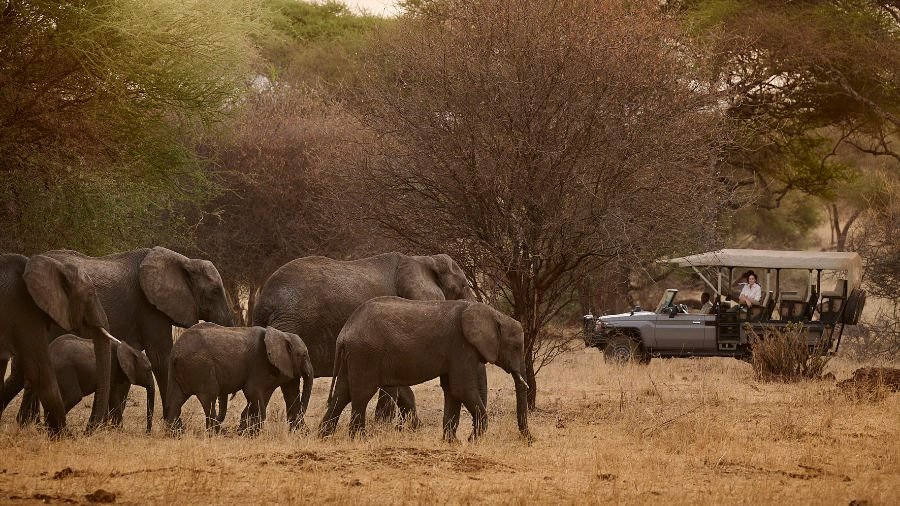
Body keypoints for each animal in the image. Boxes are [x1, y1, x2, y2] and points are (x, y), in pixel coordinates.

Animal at [163, 322, 314, 432]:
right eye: (303, 355)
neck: (282, 335)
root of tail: (175, 352)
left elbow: (283, 393)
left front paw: (246, 431)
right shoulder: (258, 364)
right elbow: (252, 391)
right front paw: (254, 433)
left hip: (180, 370)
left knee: (176, 398)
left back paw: (174, 434)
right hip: (200, 366)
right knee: (209, 397)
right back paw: (216, 433)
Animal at [253, 251, 478, 428]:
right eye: (463, 286)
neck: (421, 260)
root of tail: (263, 301)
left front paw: (406, 427)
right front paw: (390, 426)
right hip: (291, 323)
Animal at [318, 298, 532, 440]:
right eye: (516, 347)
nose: (530, 439)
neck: (494, 313)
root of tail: (344, 332)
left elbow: (452, 390)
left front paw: (452, 443)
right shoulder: (461, 347)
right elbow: (461, 388)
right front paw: (472, 442)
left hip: (353, 356)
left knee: (342, 393)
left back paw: (324, 437)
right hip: (365, 354)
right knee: (361, 394)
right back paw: (359, 439)